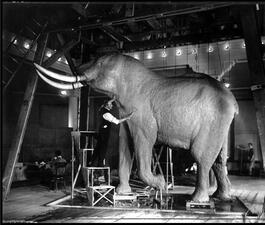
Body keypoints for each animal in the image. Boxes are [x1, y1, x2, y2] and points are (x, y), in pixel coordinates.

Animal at [34, 53, 238, 203]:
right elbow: (125, 146)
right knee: (219, 160)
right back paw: (221, 197)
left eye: (99, 63)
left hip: (212, 120)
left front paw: (161, 184)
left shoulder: (143, 115)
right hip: (220, 124)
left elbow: (143, 142)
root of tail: (233, 100)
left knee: (200, 156)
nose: (75, 66)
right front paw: (122, 193)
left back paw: (197, 201)